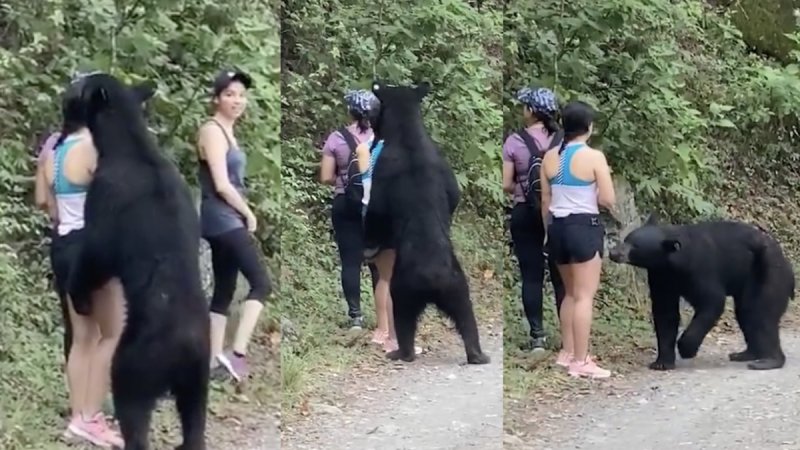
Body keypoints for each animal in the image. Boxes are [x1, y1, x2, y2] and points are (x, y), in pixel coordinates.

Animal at [67, 73, 209, 450]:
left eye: (79, 87)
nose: (66, 90)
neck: (129, 144)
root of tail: (185, 346)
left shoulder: (105, 196)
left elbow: (96, 254)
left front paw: (79, 296)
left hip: (136, 363)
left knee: (132, 409)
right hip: (197, 378)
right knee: (195, 420)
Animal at [360, 80, 488, 362]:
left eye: (376, 110)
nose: (369, 120)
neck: (407, 134)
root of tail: (433, 280)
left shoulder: (382, 171)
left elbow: (375, 211)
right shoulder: (443, 166)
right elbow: (454, 195)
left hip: (404, 288)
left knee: (403, 317)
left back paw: (401, 352)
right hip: (457, 285)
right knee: (467, 315)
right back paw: (477, 353)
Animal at [612, 214, 792, 372]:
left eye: (635, 246)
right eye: (626, 239)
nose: (613, 252)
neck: (673, 262)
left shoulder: (700, 269)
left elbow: (712, 301)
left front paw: (686, 348)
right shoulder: (661, 276)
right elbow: (665, 313)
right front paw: (662, 363)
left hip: (768, 273)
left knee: (761, 314)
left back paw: (769, 360)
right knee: (746, 314)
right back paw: (746, 354)